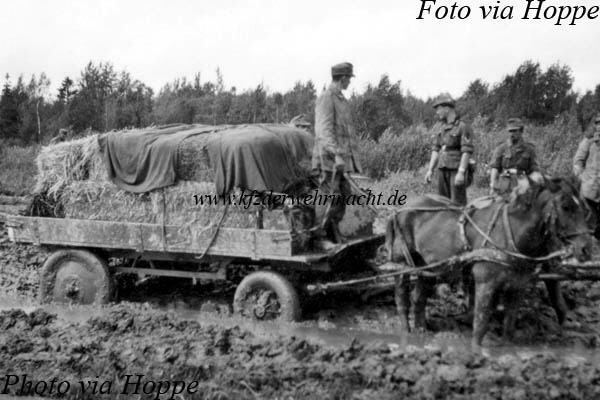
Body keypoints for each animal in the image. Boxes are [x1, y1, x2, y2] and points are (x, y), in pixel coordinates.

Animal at [386, 177, 592, 348]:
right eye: (565, 207)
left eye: (584, 208)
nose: (586, 249)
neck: (510, 233)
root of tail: (401, 209)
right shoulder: (486, 283)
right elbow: (481, 322)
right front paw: (476, 351)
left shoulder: (518, 286)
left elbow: (509, 323)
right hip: (402, 263)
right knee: (402, 299)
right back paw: (405, 333)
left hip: (429, 266)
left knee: (419, 298)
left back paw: (421, 331)